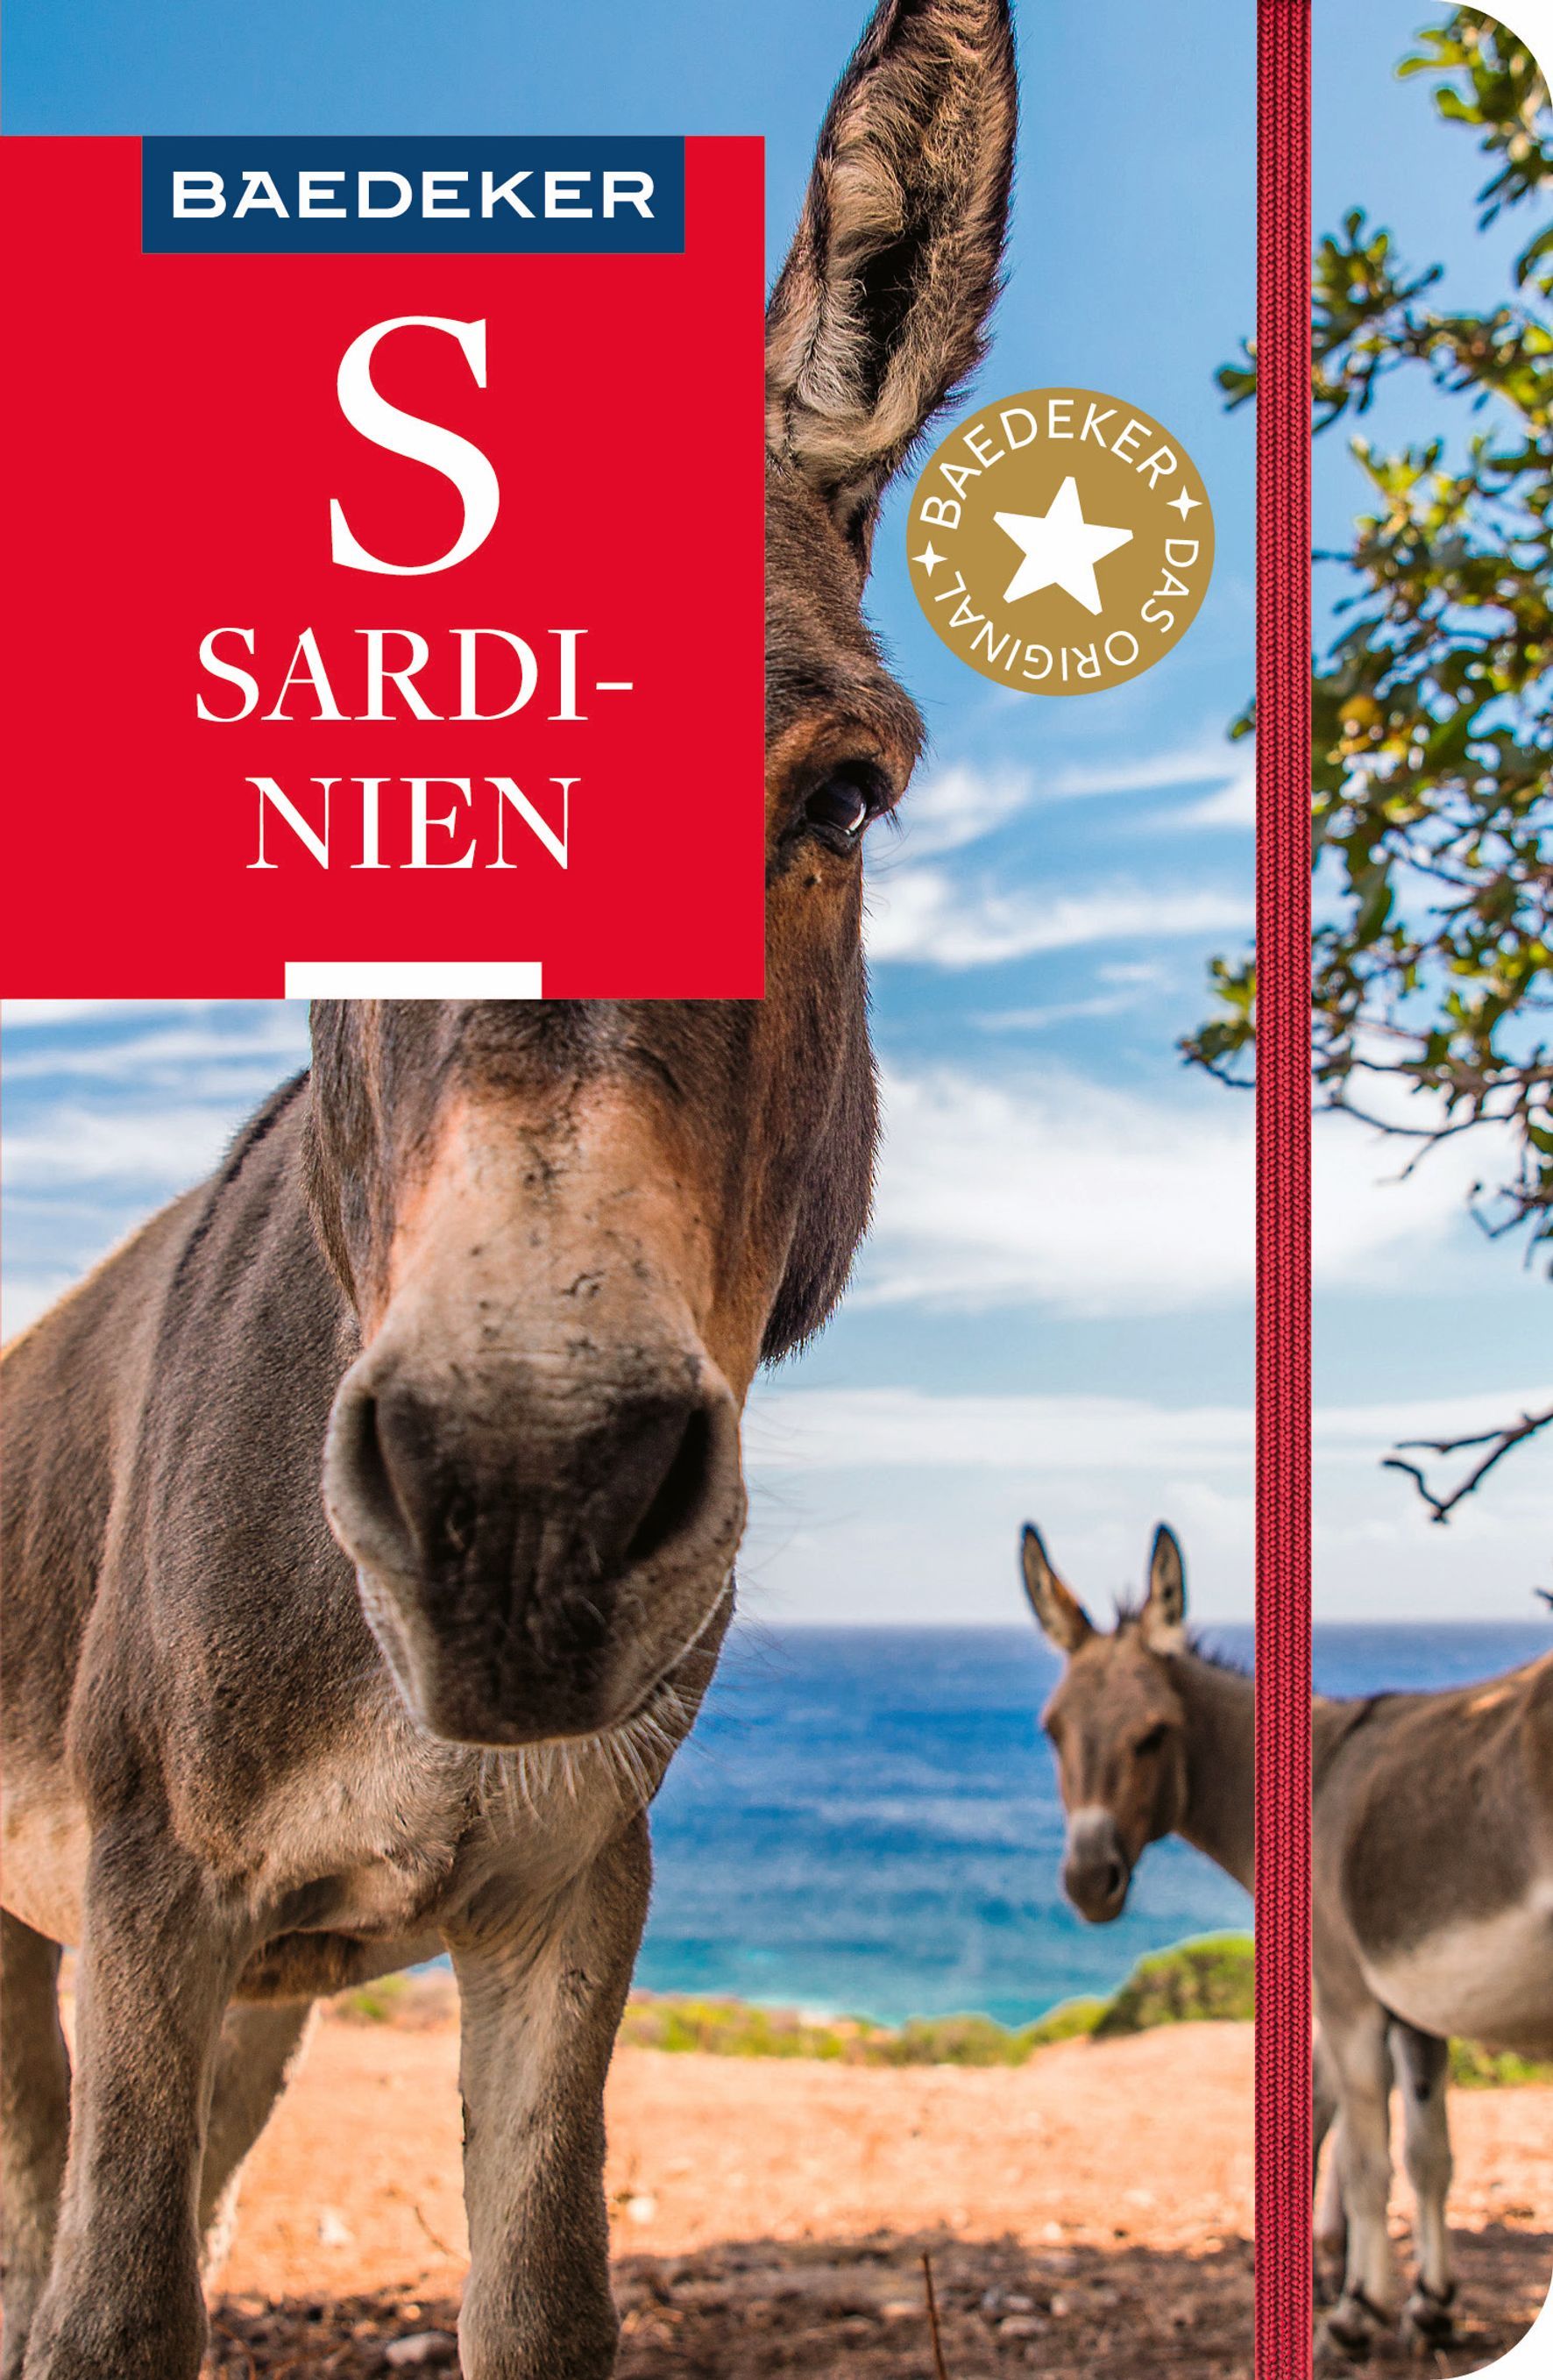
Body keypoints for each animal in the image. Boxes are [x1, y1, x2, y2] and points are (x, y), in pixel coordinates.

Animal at [0, 9, 1017, 2376]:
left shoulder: (570, 1888)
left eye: (843, 795)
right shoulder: (140, 1893)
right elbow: (105, 2313)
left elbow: (540, 2297)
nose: (520, 1505)